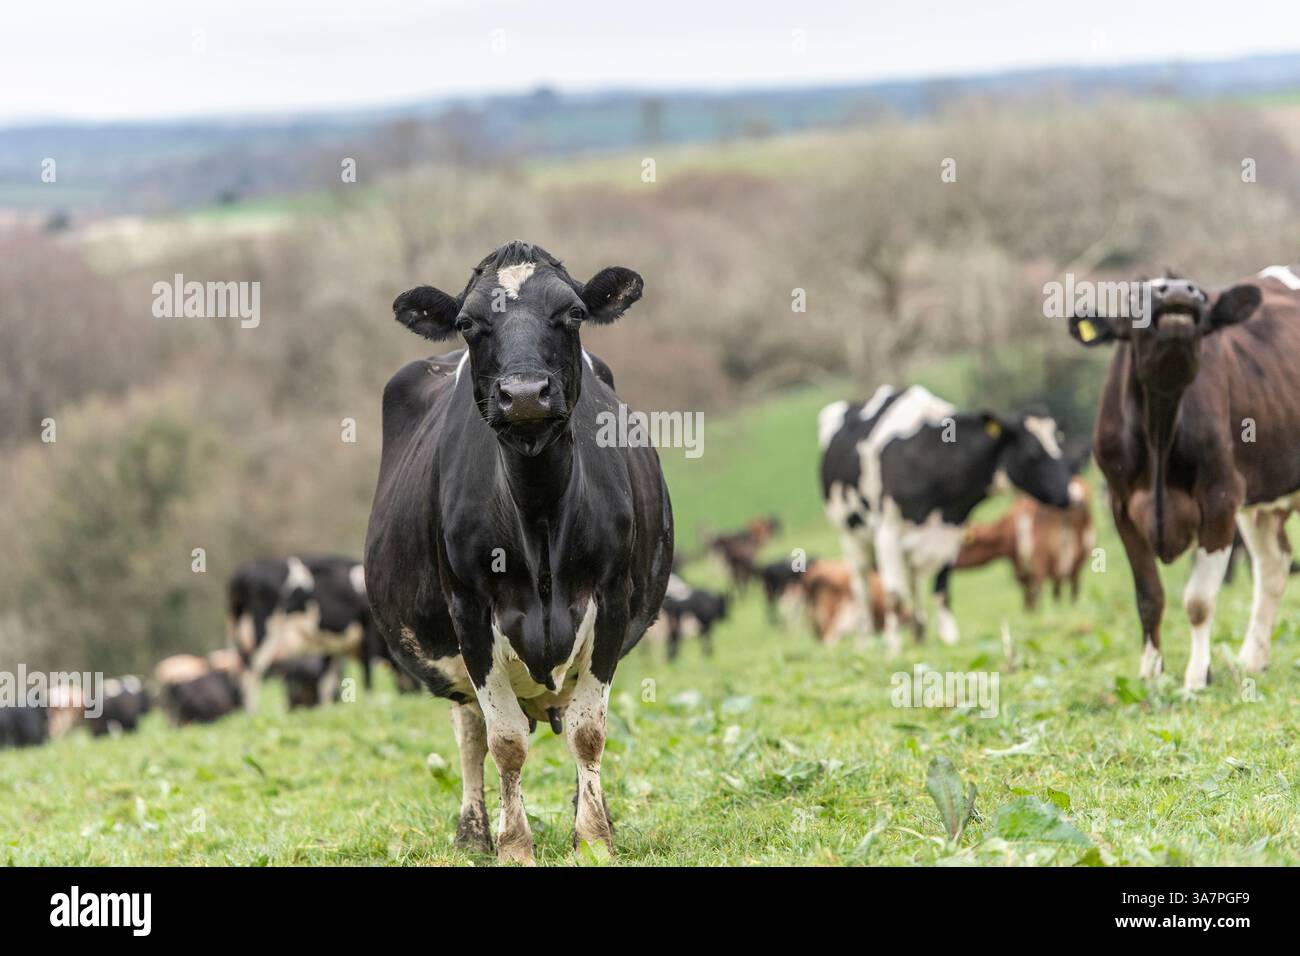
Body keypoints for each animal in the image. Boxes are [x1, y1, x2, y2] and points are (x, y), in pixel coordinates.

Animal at [226, 554, 378, 712]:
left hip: (235, 628)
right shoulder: (367, 634)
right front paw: (370, 704)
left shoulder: (332, 646)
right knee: (250, 672)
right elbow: (367, 675)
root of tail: (243, 572)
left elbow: (327, 682)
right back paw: (253, 712)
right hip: (267, 630)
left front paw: (326, 710)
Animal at [364, 241, 673, 864]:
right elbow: (503, 740)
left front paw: (594, 837)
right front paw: (514, 845)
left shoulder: (611, 600)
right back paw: (474, 832)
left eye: (574, 313)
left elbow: (588, 731)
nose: (526, 394)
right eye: (466, 323)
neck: (538, 510)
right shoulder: (469, 611)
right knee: (471, 734)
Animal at [819, 385, 1073, 652]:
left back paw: (919, 632)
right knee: (863, 588)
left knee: (914, 584)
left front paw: (949, 637)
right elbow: (894, 595)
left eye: (1059, 445)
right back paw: (867, 641)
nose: (1068, 494)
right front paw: (894, 647)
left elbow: (942, 588)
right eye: (1033, 453)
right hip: (851, 537)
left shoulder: (950, 532)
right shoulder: (887, 533)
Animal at [1066, 267, 1300, 689]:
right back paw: (1252, 659)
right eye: (1134, 298)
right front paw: (1150, 672)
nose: (1177, 291)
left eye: (1202, 297)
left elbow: (1198, 601)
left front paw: (1196, 676)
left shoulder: (1221, 498)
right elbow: (1149, 598)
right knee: (1274, 565)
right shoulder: (1121, 506)